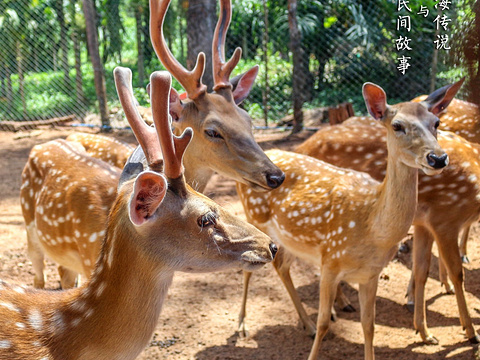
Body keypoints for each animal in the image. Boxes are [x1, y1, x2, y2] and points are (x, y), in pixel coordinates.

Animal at [237, 82, 450, 360]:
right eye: (397, 125)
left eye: (436, 122)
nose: (438, 158)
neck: (372, 227)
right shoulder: (330, 260)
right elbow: (324, 322)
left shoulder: (370, 274)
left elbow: (369, 326)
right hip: (255, 217)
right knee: (248, 269)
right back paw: (242, 326)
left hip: (291, 239)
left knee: (282, 266)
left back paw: (304, 324)